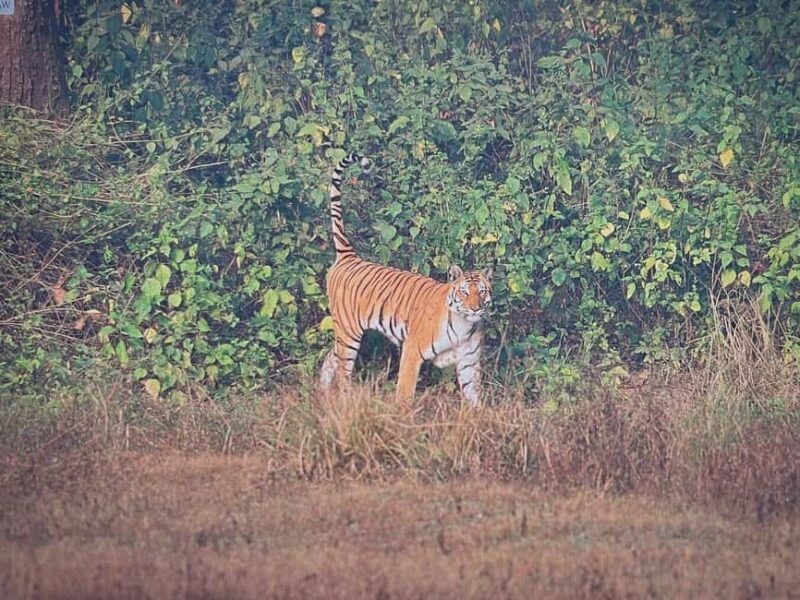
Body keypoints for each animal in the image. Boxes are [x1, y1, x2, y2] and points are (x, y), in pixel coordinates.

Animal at [319, 152, 493, 405]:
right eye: (464, 292)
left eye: (481, 291)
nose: (475, 308)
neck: (464, 325)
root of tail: (349, 256)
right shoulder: (412, 349)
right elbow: (405, 391)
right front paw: (402, 413)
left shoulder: (469, 362)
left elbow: (473, 397)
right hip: (348, 333)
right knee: (342, 372)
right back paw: (344, 399)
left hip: (343, 336)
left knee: (329, 359)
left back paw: (321, 395)